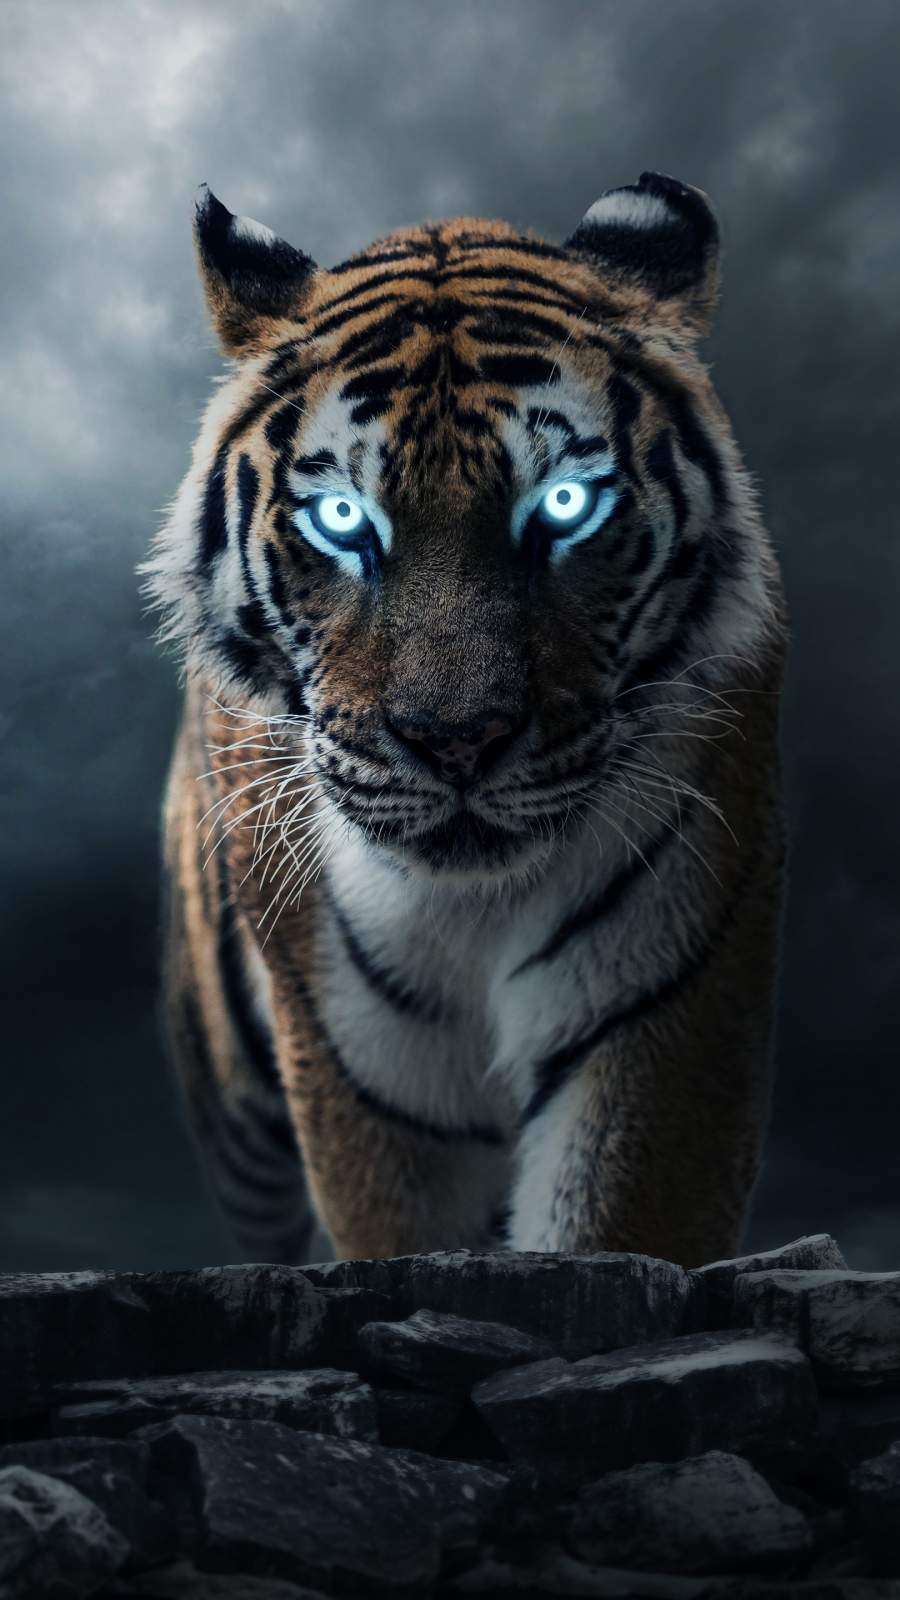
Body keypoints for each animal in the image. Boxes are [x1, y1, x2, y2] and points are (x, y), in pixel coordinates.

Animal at [141, 170, 788, 1270]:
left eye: (565, 505)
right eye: (344, 520)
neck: (471, 906)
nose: (457, 741)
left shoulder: (667, 1004)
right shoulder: (370, 1075)